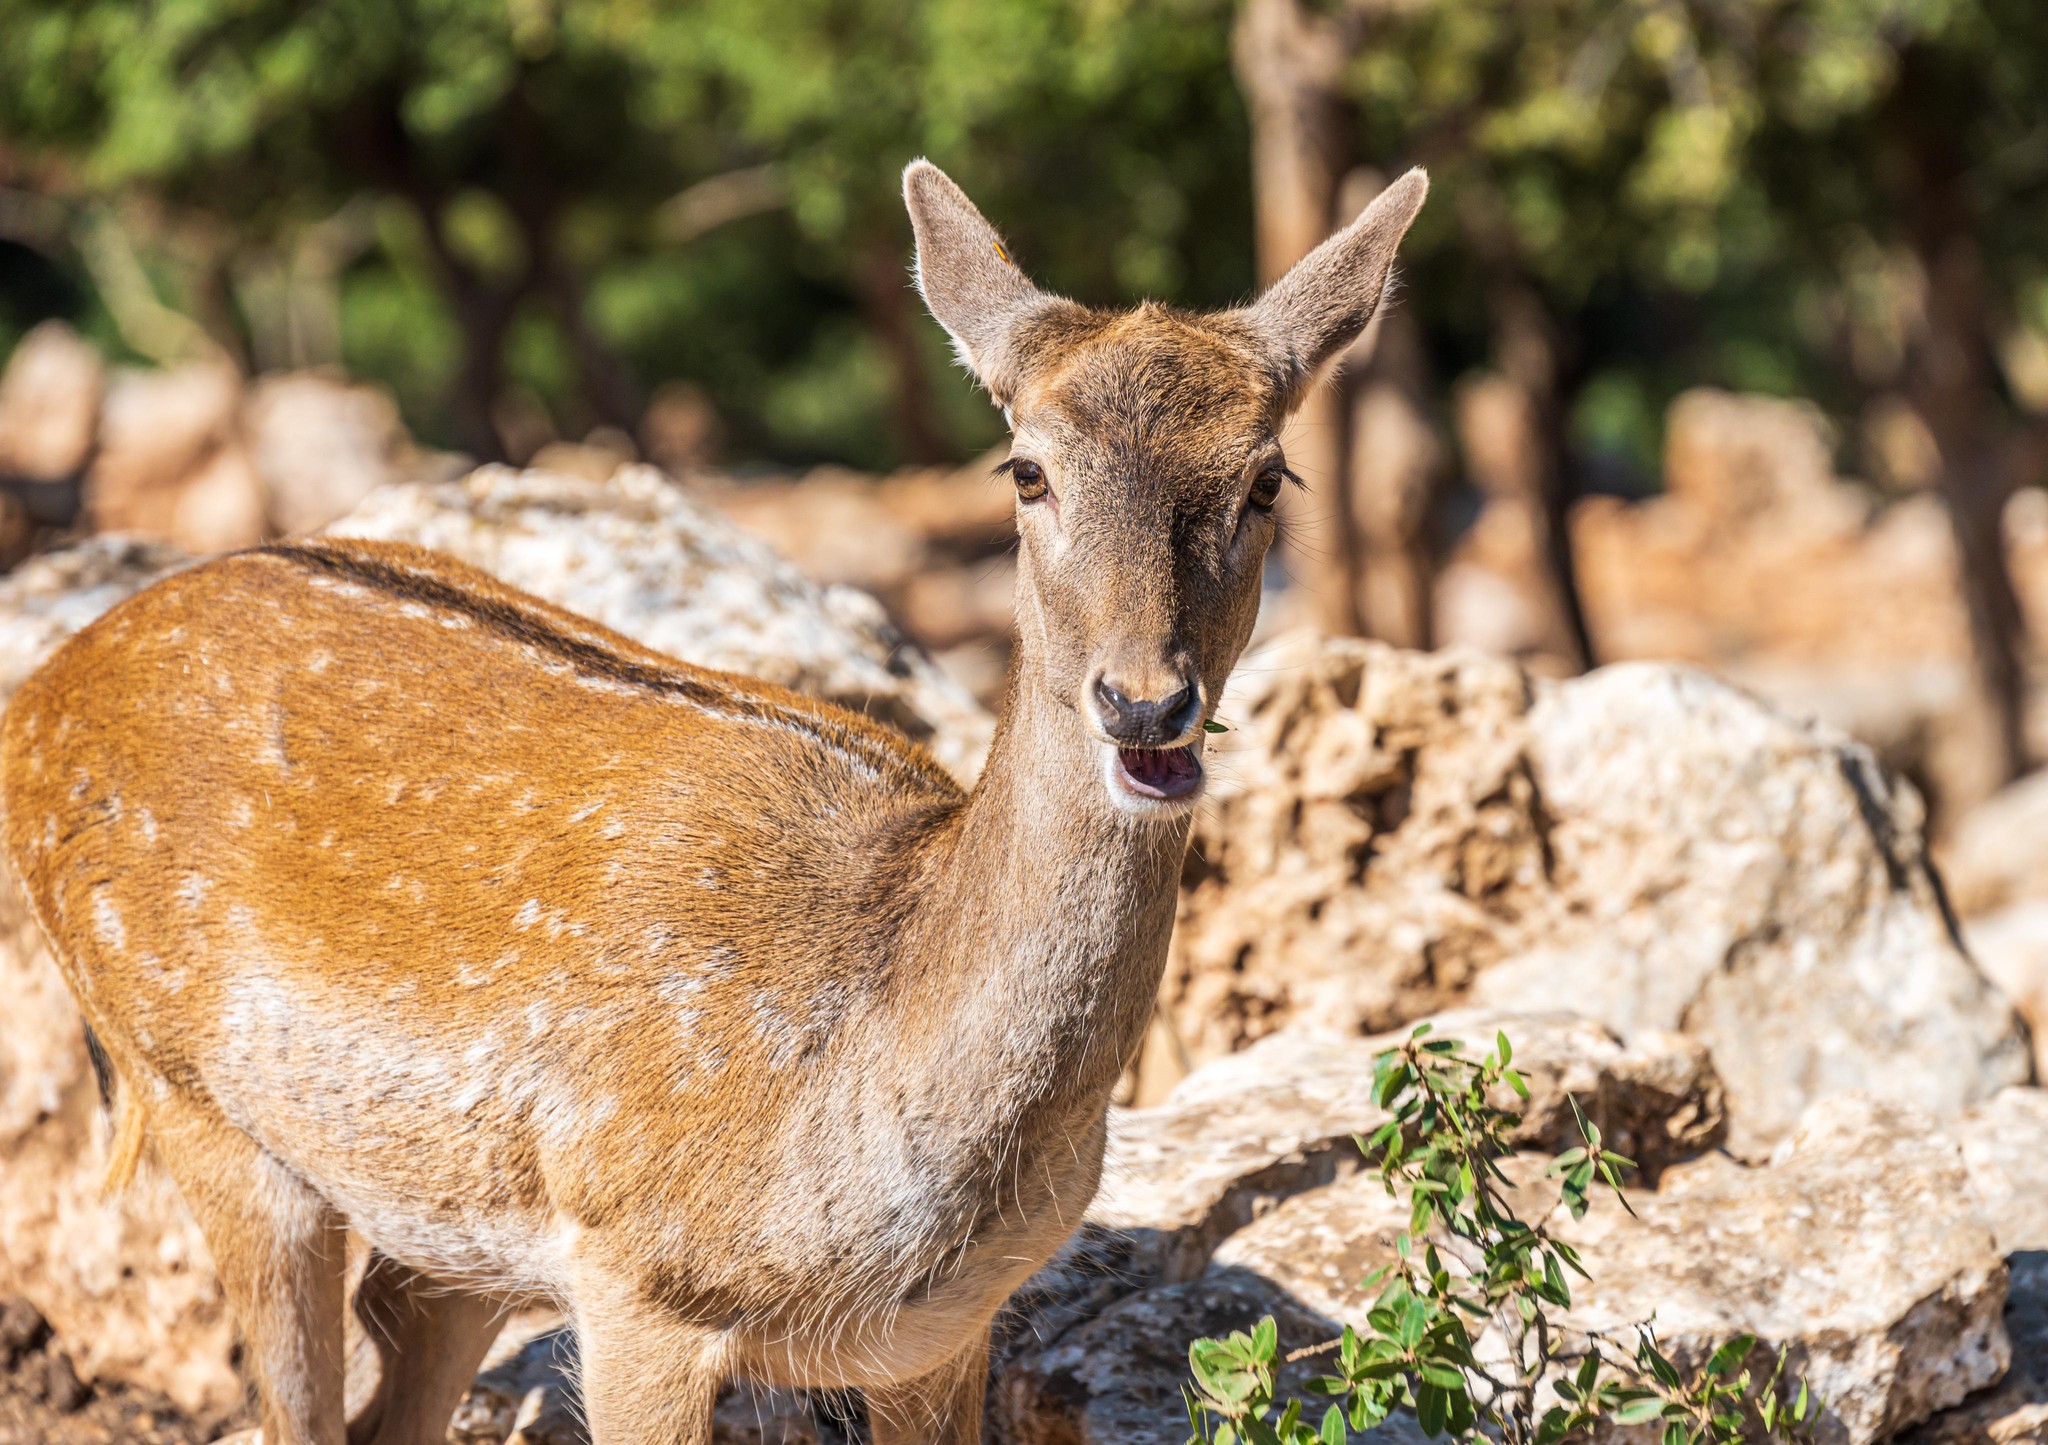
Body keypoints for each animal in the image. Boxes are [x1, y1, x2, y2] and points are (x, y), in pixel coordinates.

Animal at [0, 160, 1427, 1445]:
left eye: (1266, 477)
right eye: (1025, 469)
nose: (1142, 705)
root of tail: (45, 689)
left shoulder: (943, 1330)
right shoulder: (640, 1275)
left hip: (445, 1220)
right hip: (193, 1096)